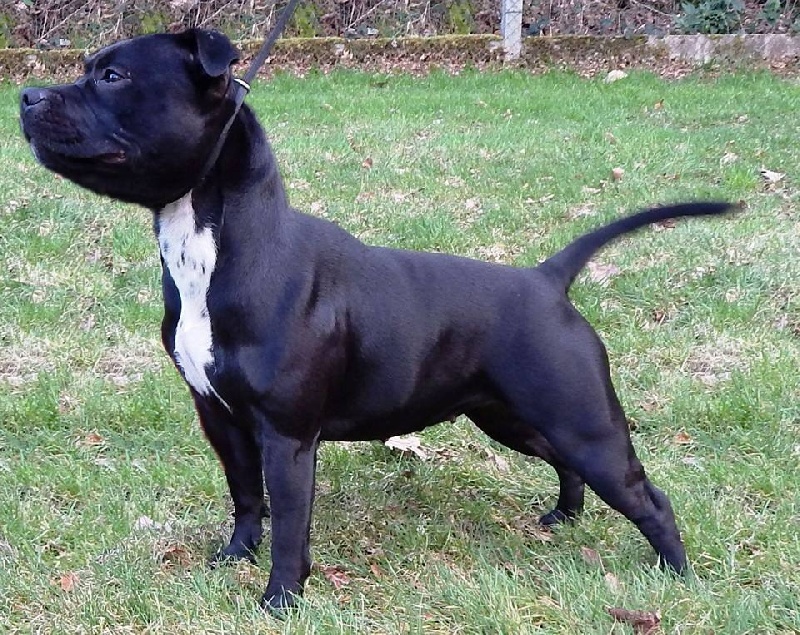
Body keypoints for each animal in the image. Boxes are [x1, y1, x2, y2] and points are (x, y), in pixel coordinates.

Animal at [20, 29, 733, 611]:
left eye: (115, 76)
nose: (26, 95)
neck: (214, 248)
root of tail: (545, 278)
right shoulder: (220, 417)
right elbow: (246, 496)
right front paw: (234, 557)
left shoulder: (288, 436)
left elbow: (290, 524)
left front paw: (279, 600)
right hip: (511, 415)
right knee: (565, 463)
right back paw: (565, 517)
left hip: (583, 421)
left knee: (647, 497)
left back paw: (676, 575)